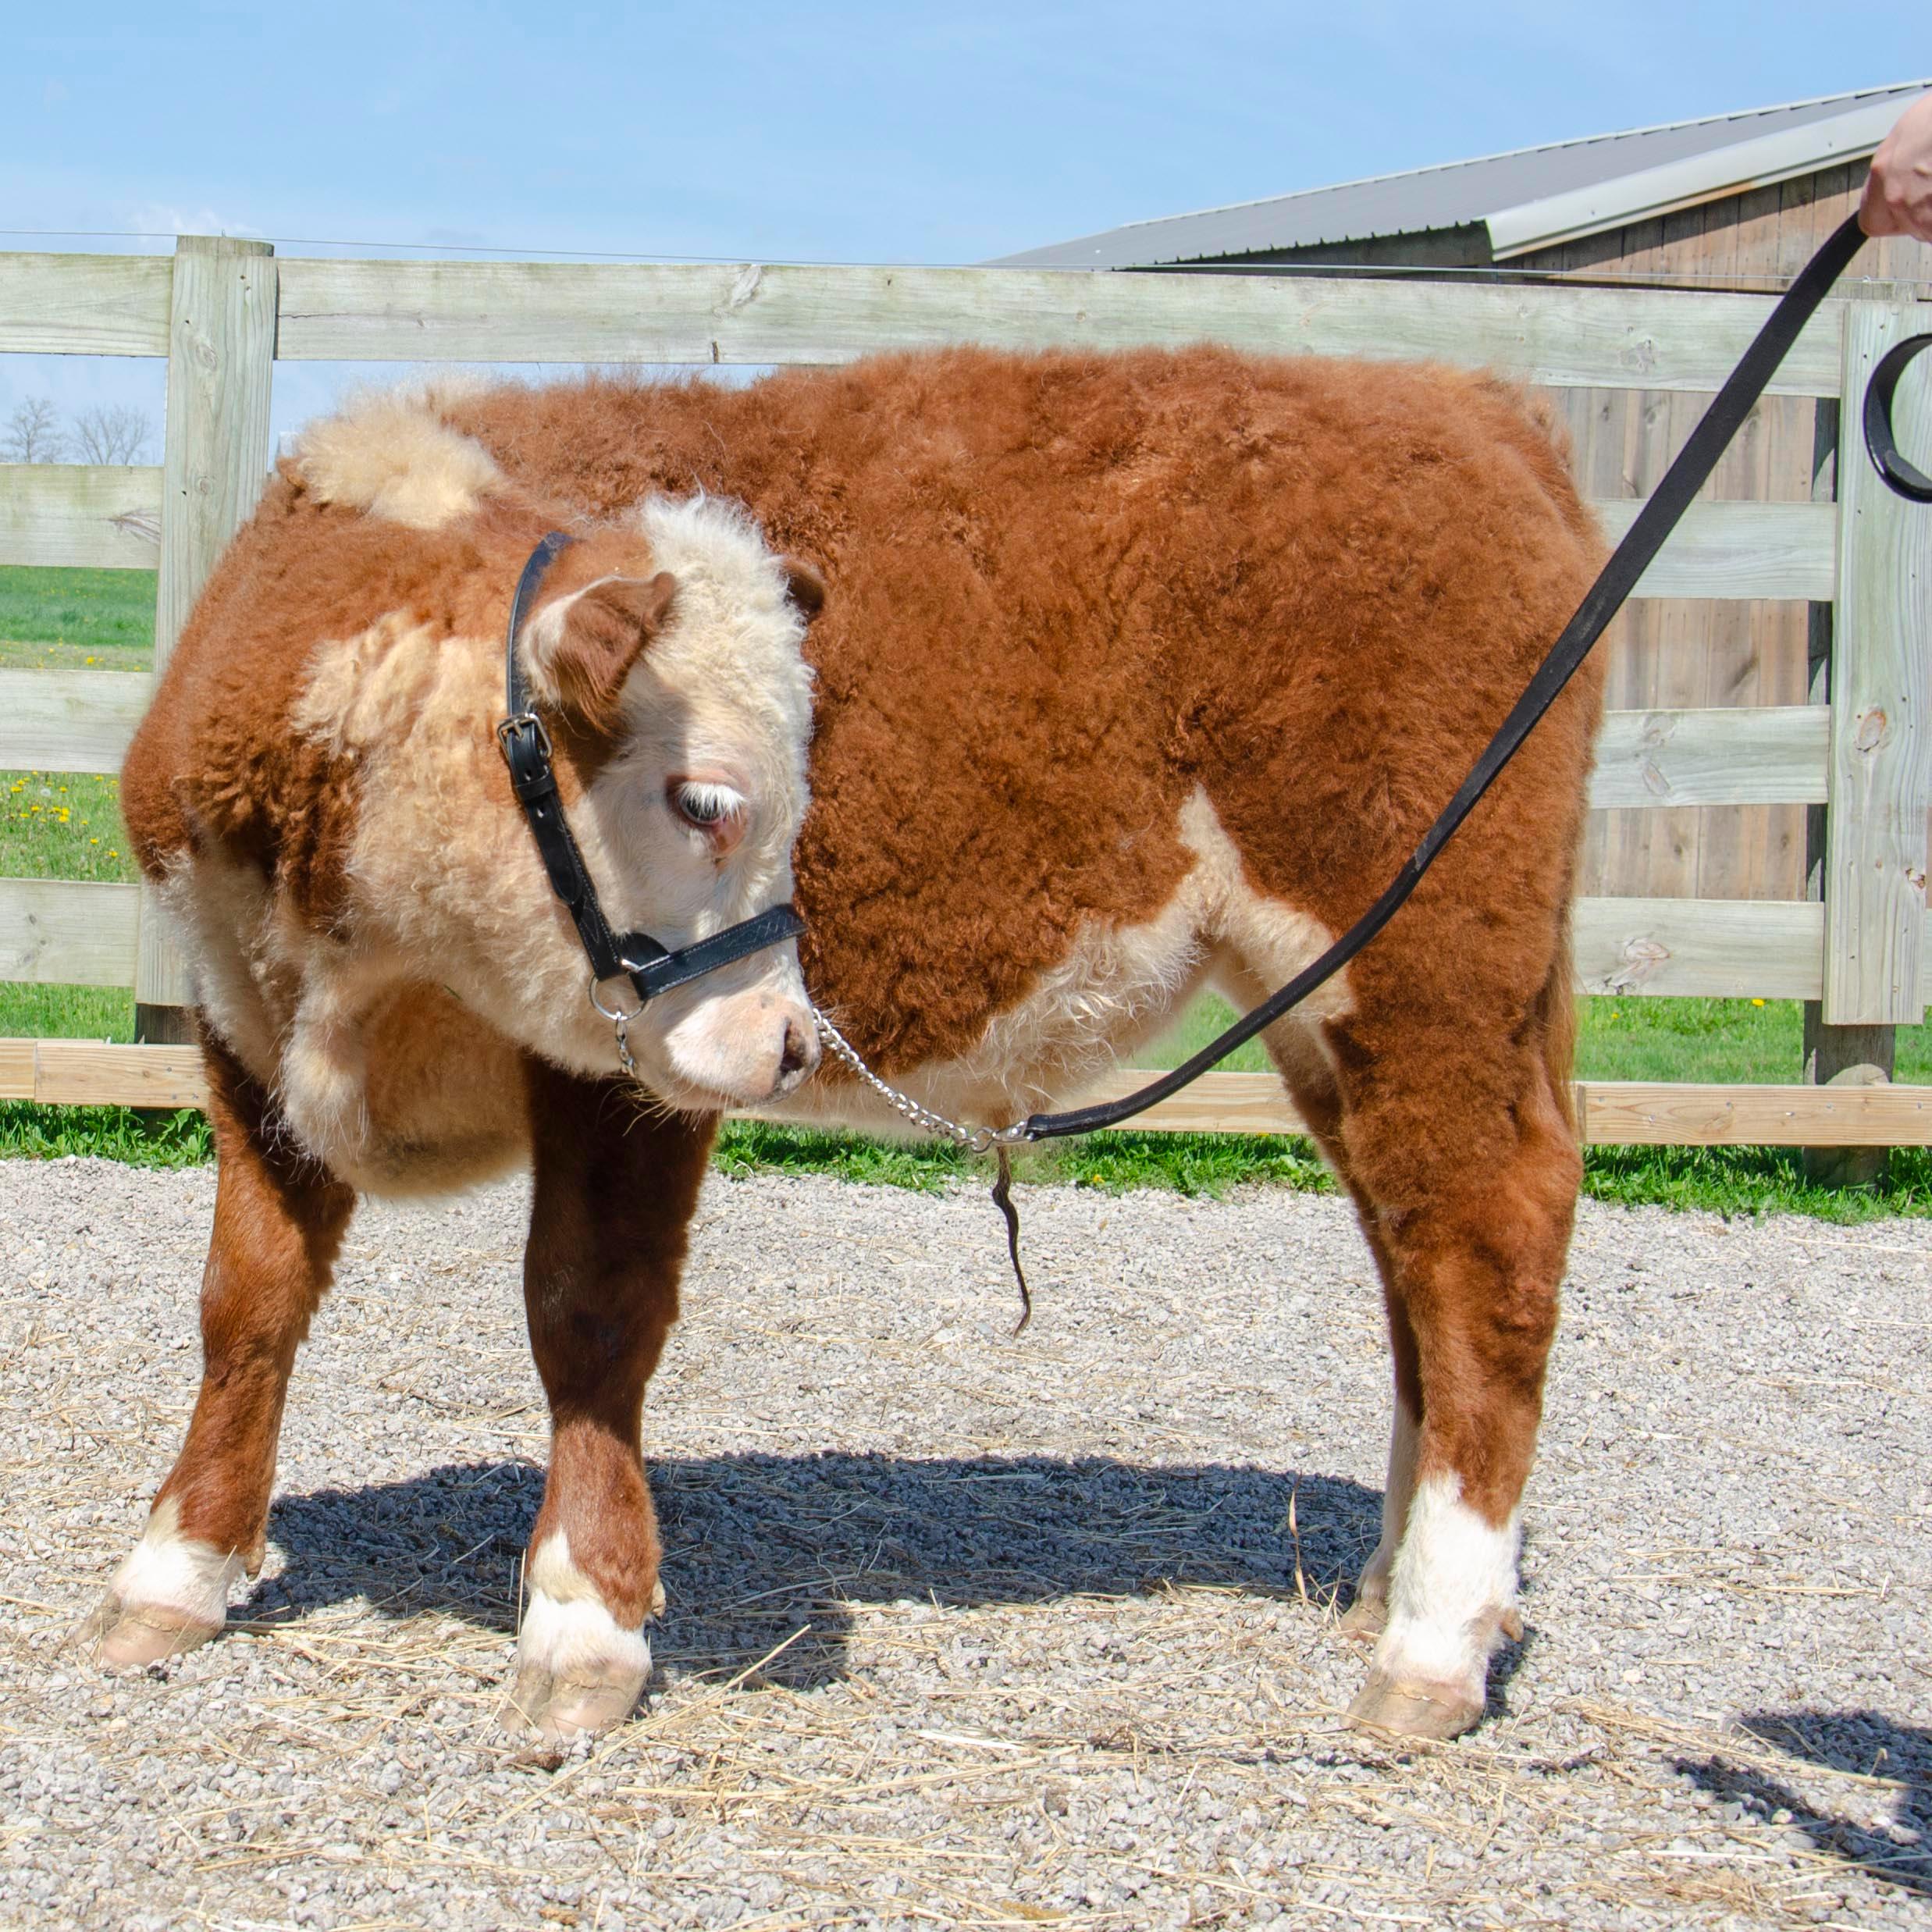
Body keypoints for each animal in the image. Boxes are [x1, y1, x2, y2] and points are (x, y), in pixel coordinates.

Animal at [87, 347, 1604, 1746]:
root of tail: (1462, 395)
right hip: (1342, 1009)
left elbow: (587, 1309)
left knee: (1486, 1234)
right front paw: (178, 1568)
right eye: (704, 798)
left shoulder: (622, 1071)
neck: (381, 973)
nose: (788, 1037)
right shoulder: (242, 1020)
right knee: (1409, 1255)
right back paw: (1394, 1587)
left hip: (1428, 960)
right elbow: (248, 1297)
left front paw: (582, 1622)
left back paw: (1432, 1643)